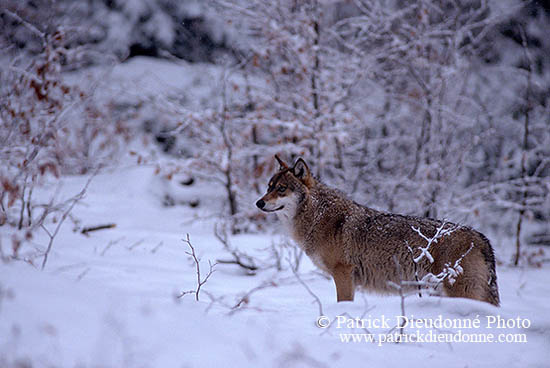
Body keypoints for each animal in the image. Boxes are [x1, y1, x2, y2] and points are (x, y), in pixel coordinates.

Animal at [256, 154, 502, 306]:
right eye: (268, 187)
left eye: (281, 189)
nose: (259, 203)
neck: (318, 215)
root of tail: (482, 238)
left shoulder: (343, 273)